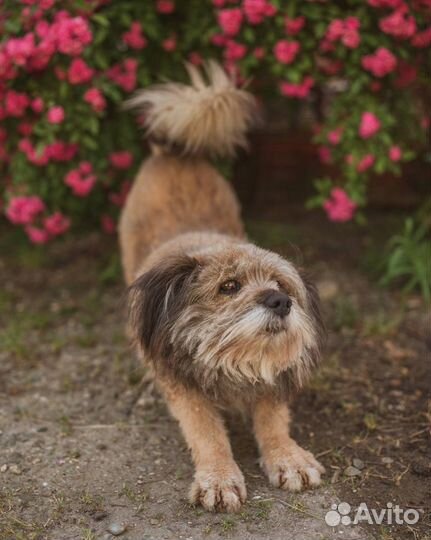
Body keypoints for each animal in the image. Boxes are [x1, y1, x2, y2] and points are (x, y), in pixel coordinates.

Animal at [120, 61, 326, 512]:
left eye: (281, 283)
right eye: (229, 286)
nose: (280, 301)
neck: (234, 362)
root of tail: (173, 151)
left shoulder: (270, 381)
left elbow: (273, 419)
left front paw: (286, 456)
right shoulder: (183, 385)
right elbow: (206, 432)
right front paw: (218, 477)